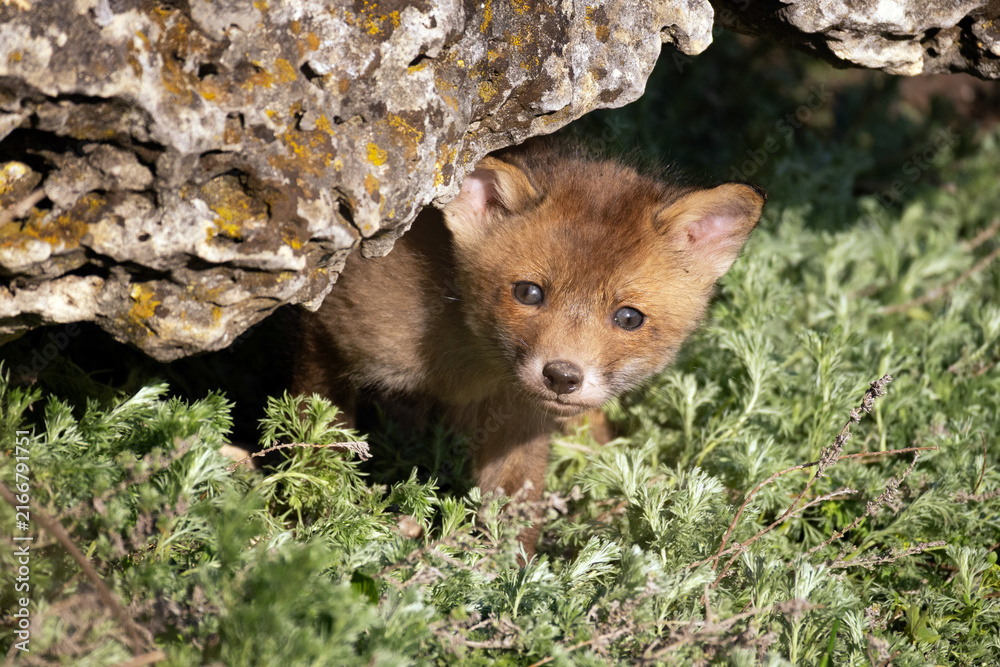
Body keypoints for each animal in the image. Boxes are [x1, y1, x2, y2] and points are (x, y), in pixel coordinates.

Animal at [290, 144, 765, 555]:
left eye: (628, 318)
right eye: (528, 292)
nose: (562, 376)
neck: (465, 365)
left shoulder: (518, 419)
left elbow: (513, 515)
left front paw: (503, 584)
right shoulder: (326, 332)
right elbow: (319, 449)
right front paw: (315, 521)